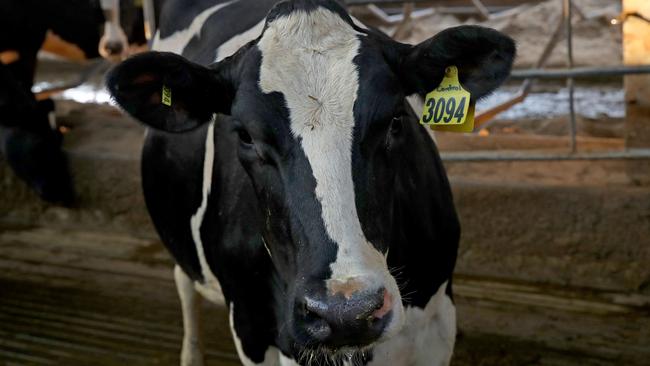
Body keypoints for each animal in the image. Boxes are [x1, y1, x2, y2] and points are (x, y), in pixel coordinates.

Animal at [106, 1, 512, 364]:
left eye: (396, 119)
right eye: (245, 135)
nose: (346, 313)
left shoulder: (436, 320)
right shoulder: (252, 328)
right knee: (184, 284)